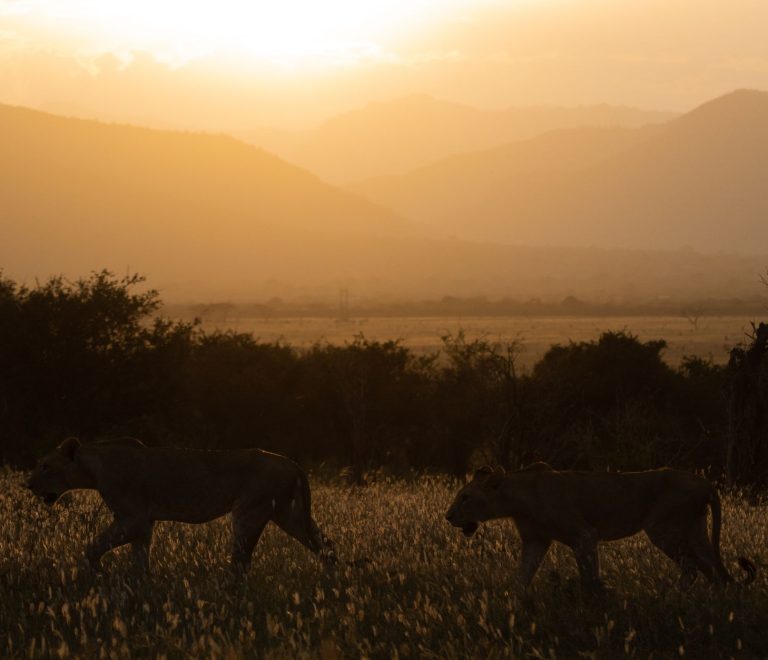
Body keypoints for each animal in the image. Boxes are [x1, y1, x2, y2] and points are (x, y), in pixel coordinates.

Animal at [26, 437, 337, 572]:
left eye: (45, 466)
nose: (28, 484)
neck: (95, 468)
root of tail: (293, 464)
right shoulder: (143, 525)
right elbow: (139, 560)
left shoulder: (133, 519)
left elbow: (92, 548)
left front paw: (96, 575)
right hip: (287, 513)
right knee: (326, 545)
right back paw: (331, 581)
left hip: (250, 512)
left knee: (240, 561)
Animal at [445, 463, 756, 590]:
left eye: (465, 497)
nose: (448, 517)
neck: (517, 500)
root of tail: (705, 482)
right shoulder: (536, 540)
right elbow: (522, 576)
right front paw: (513, 602)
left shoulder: (584, 535)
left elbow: (589, 576)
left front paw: (594, 602)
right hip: (695, 531)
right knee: (711, 569)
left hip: (665, 531)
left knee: (696, 568)